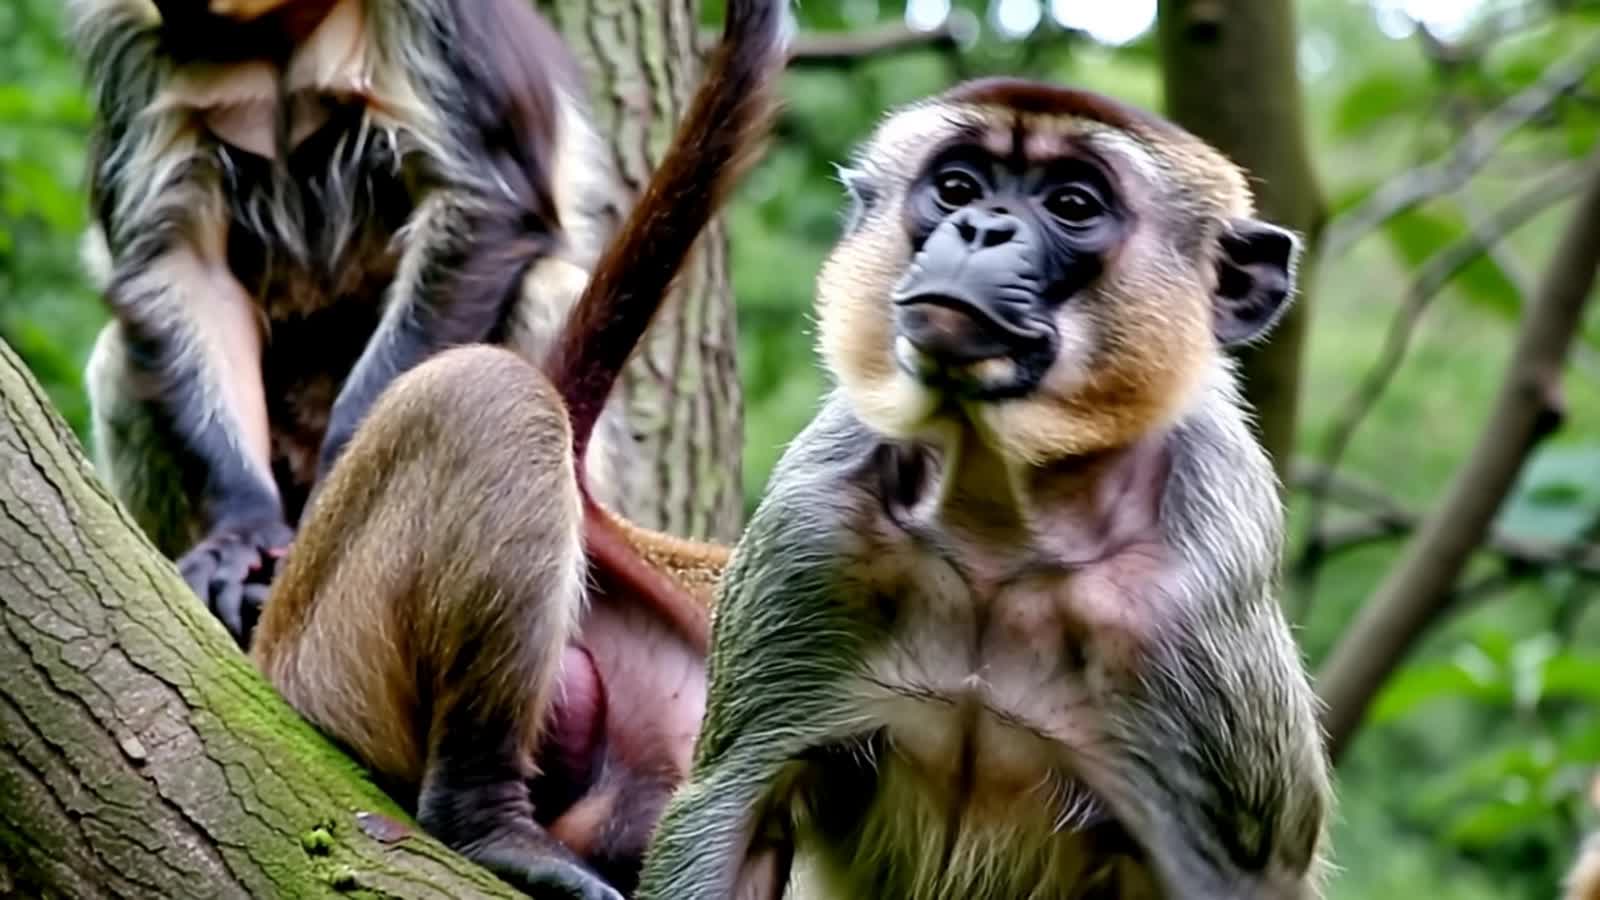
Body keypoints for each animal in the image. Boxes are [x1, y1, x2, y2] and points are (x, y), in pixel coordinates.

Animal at [70, 0, 626, 645]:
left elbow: (479, 202)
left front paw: (336, 509)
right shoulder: (133, 34)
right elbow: (180, 260)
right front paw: (241, 530)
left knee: (544, 292)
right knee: (118, 360)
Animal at [633, 77, 1334, 900]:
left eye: (1071, 204)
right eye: (958, 188)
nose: (978, 227)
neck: (999, 520)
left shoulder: (1187, 617)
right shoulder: (810, 541)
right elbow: (731, 811)